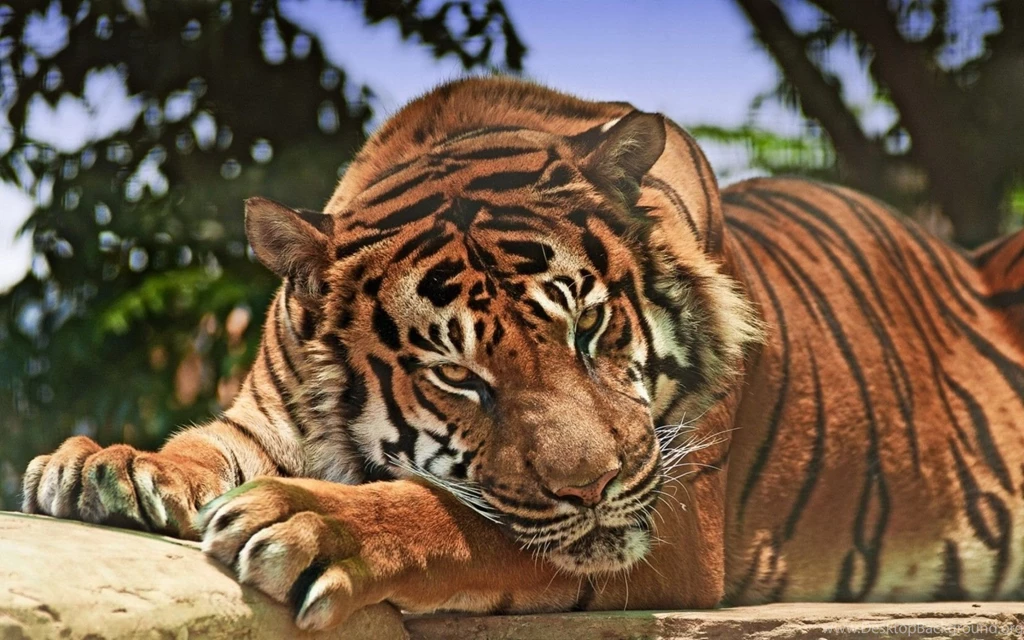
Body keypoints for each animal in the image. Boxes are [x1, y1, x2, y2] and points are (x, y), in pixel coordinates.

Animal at [22, 76, 1024, 630]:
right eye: (457, 375)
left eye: (589, 330)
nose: (594, 487)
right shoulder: (259, 416)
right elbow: (198, 445)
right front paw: (107, 465)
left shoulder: (672, 513)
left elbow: (459, 518)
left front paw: (312, 523)